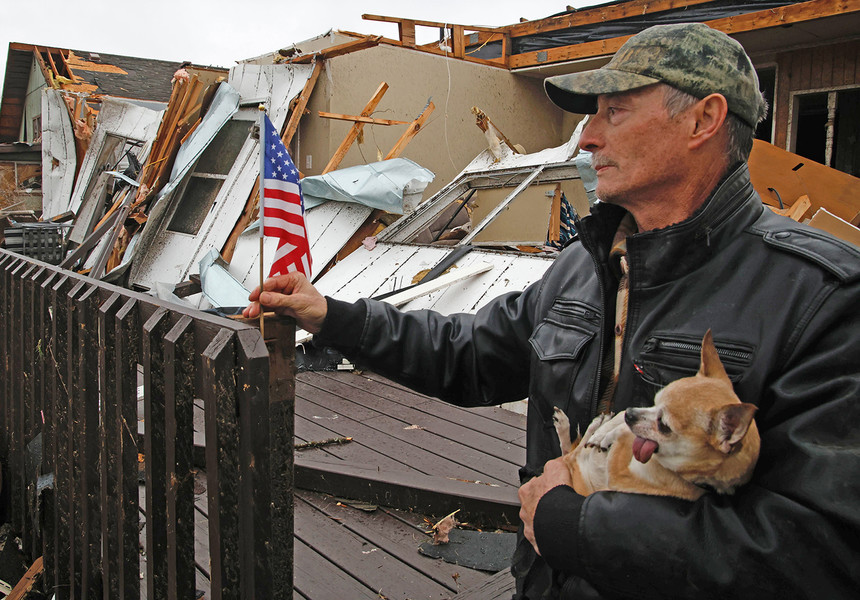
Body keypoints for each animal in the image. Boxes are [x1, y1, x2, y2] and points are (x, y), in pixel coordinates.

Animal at [556, 330, 756, 500]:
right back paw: (587, 425)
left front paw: (612, 433)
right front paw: (605, 431)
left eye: (664, 426)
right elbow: (621, 420)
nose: (630, 414)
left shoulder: (619, 476)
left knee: (569, 455)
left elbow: (625, 436)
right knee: (571, 452)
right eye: (655, 401)